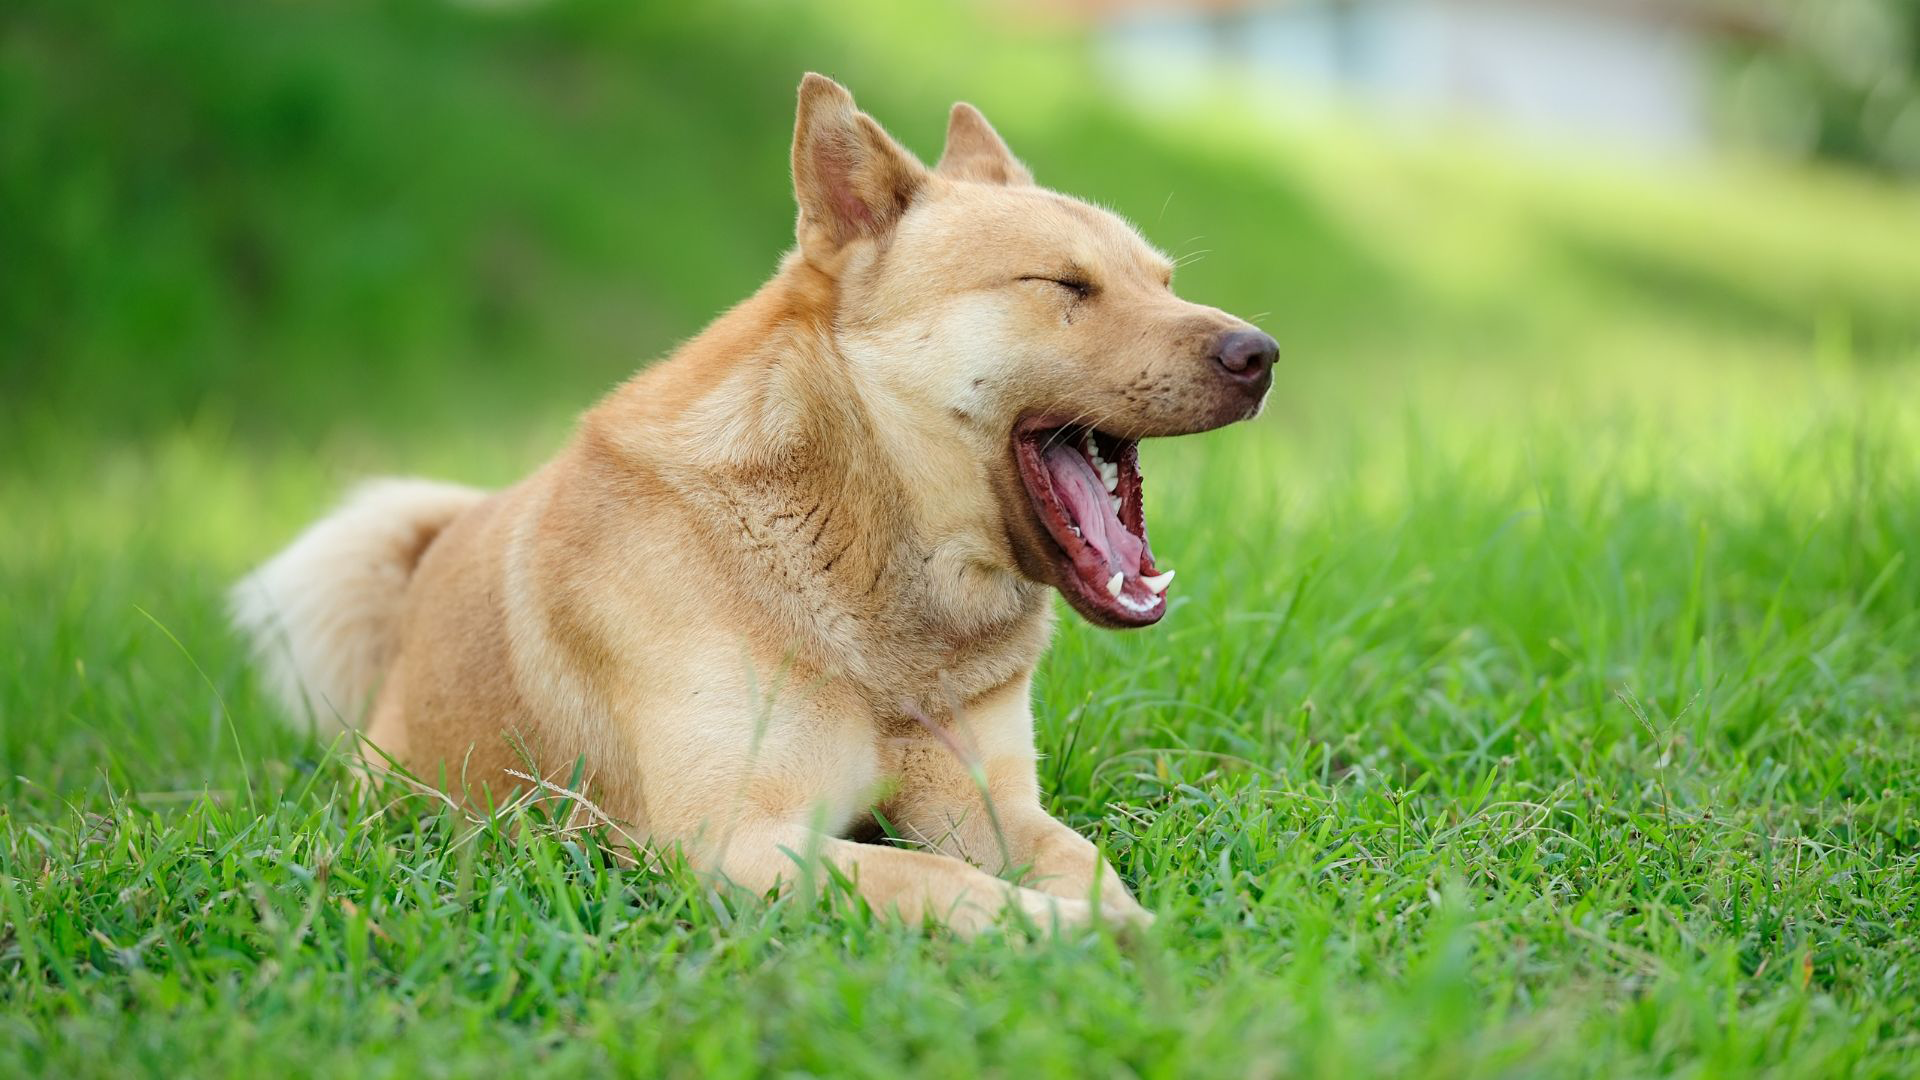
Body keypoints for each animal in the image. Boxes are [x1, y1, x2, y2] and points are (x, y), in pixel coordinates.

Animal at [232, 75, 1274, 933]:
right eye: (1063, 283)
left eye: (1164, 281)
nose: (1261, 353)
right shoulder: (728, 839)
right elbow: (936, 881)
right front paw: (1068, 934)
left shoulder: (982, 800)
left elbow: (1075, 855)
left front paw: (1111, 919)